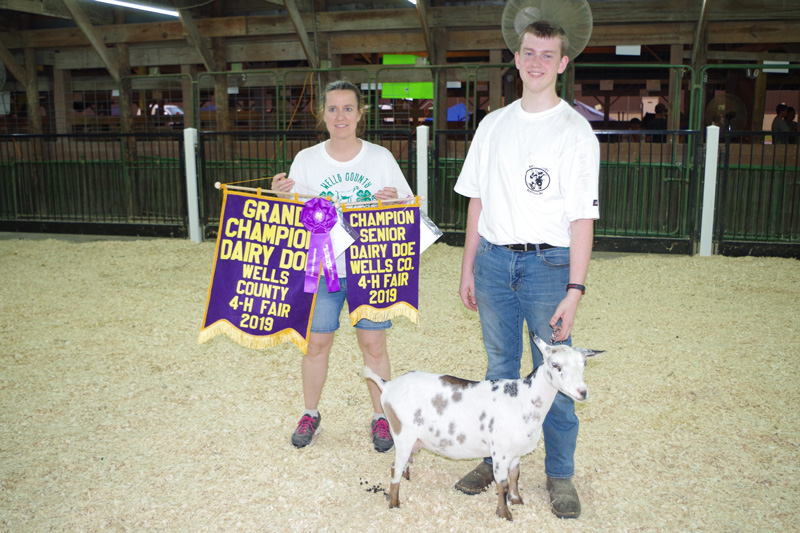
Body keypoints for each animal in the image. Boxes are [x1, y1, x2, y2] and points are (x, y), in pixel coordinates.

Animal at [362, 332, 600, 520]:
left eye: (583, 365)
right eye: (555, 365)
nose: (582, 392)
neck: (524, 398)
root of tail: (387, 385)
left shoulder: (515, 453)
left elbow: (515, 476)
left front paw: (517, 500)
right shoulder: (500, 453)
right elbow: (502, 483)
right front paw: (504, 514)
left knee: (401, 464)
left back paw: (405, 479)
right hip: (402, 434)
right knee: (394, 468)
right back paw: (394, 503)